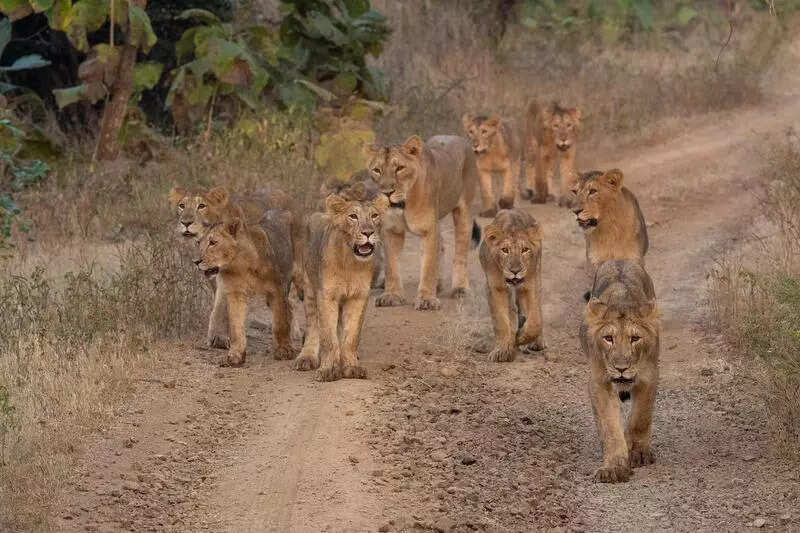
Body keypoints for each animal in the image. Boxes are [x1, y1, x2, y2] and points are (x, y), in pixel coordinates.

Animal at [194, 211, 296, 366]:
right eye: (199, 243)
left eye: (213, 242)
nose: (196, 261)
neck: (240, 265)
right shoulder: (235, 293)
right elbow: (236, 326)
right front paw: (236, 355)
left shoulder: (277, 290)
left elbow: (280, 322)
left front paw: (284, 350)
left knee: (287, 310)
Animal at [292, 193, 390, 381]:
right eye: (353, 216)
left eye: (374, 216)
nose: (368, 232)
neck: (350, 263)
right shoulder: (326, 296)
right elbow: (328, 337)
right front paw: (329, 369)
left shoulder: (358, 297)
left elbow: (351, 336)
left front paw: (351, 366)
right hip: (308, 286)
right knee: (313, 325)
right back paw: (307, 357)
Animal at [367, 135, 481, 311]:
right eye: (377, 170)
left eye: (400, 168)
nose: (386, 193)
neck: (404, 204)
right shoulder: (391, 230)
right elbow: (391, 266)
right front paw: (392, 296)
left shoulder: (428, 229)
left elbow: (428, 265)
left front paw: (427, 299)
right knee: (441, 245)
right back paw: (438, 284)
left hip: (464, 211)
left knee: (460, 253)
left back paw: (460, 289)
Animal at [479, 209, 546, 362]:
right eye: (505, 250)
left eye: (525, 249)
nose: (515, 271)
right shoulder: (496, 288)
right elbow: (501, 321)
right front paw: (502, 350)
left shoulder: (529, 286)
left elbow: (535, 321)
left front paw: (520, 338)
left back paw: (536, 342)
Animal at [581, 259, 660, 483]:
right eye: (608, 338)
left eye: (635, 339)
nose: (621, 368)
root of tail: (620, 259)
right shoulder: (600, 382)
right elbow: (610, 426)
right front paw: (614, 467)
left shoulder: (649, 376)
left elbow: (640, 417)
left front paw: (638, 452)